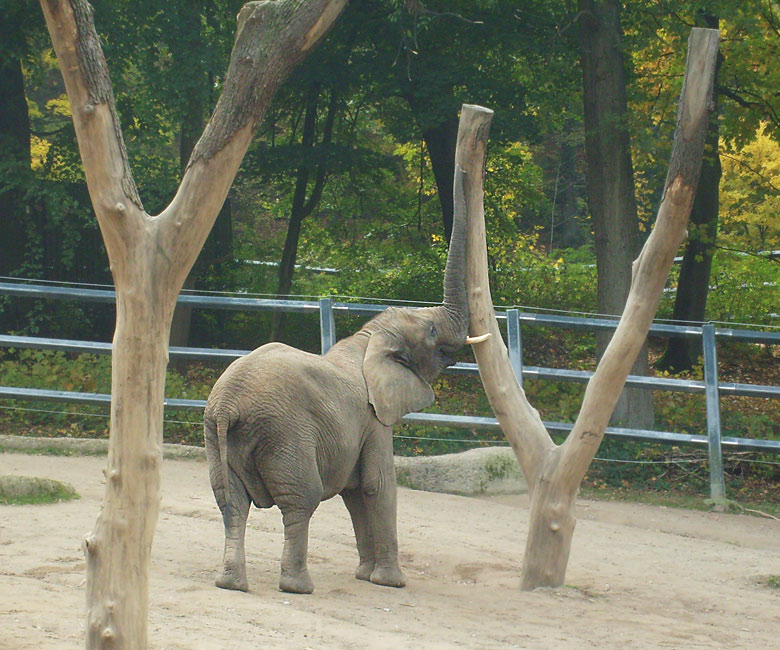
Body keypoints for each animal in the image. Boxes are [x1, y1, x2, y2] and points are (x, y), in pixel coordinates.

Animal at [203, 173, 482, 592]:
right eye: (432, 332)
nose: (463, 175)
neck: (369, 337)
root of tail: (228, 405)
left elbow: (356, 492)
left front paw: (365, 576)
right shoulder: (375, 418)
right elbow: (377, 485)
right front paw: (391, 583)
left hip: (217, 436)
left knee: (231, 502)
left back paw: (231, 583)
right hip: (286, 433)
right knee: (301, 500)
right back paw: (298, 586)